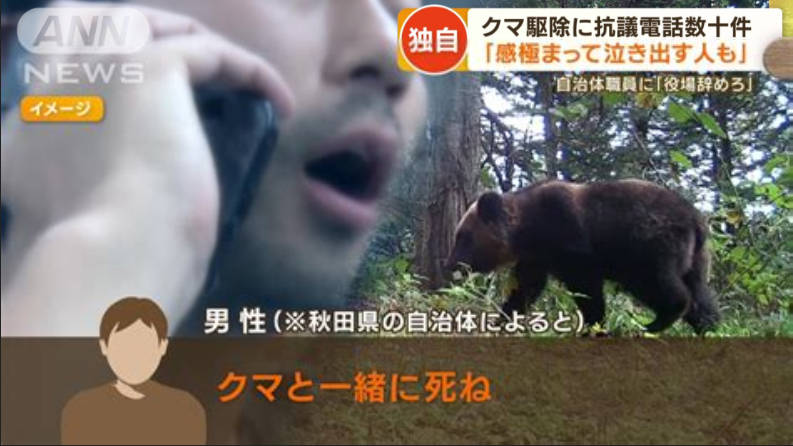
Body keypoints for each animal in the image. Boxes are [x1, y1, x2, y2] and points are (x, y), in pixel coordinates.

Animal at [446, 179, 720, 334]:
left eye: (463, 237)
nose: (451, 264)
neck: (530, 229)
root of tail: (696, 219)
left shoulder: (573, 246)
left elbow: (587, 292)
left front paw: (593, 326)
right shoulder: (536, 259)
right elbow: (525, 290)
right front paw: (500, 321)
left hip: (647, 248)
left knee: (664, 287)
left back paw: (652, 323)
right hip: (697, 258)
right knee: (702, 296)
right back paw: (710, 327)